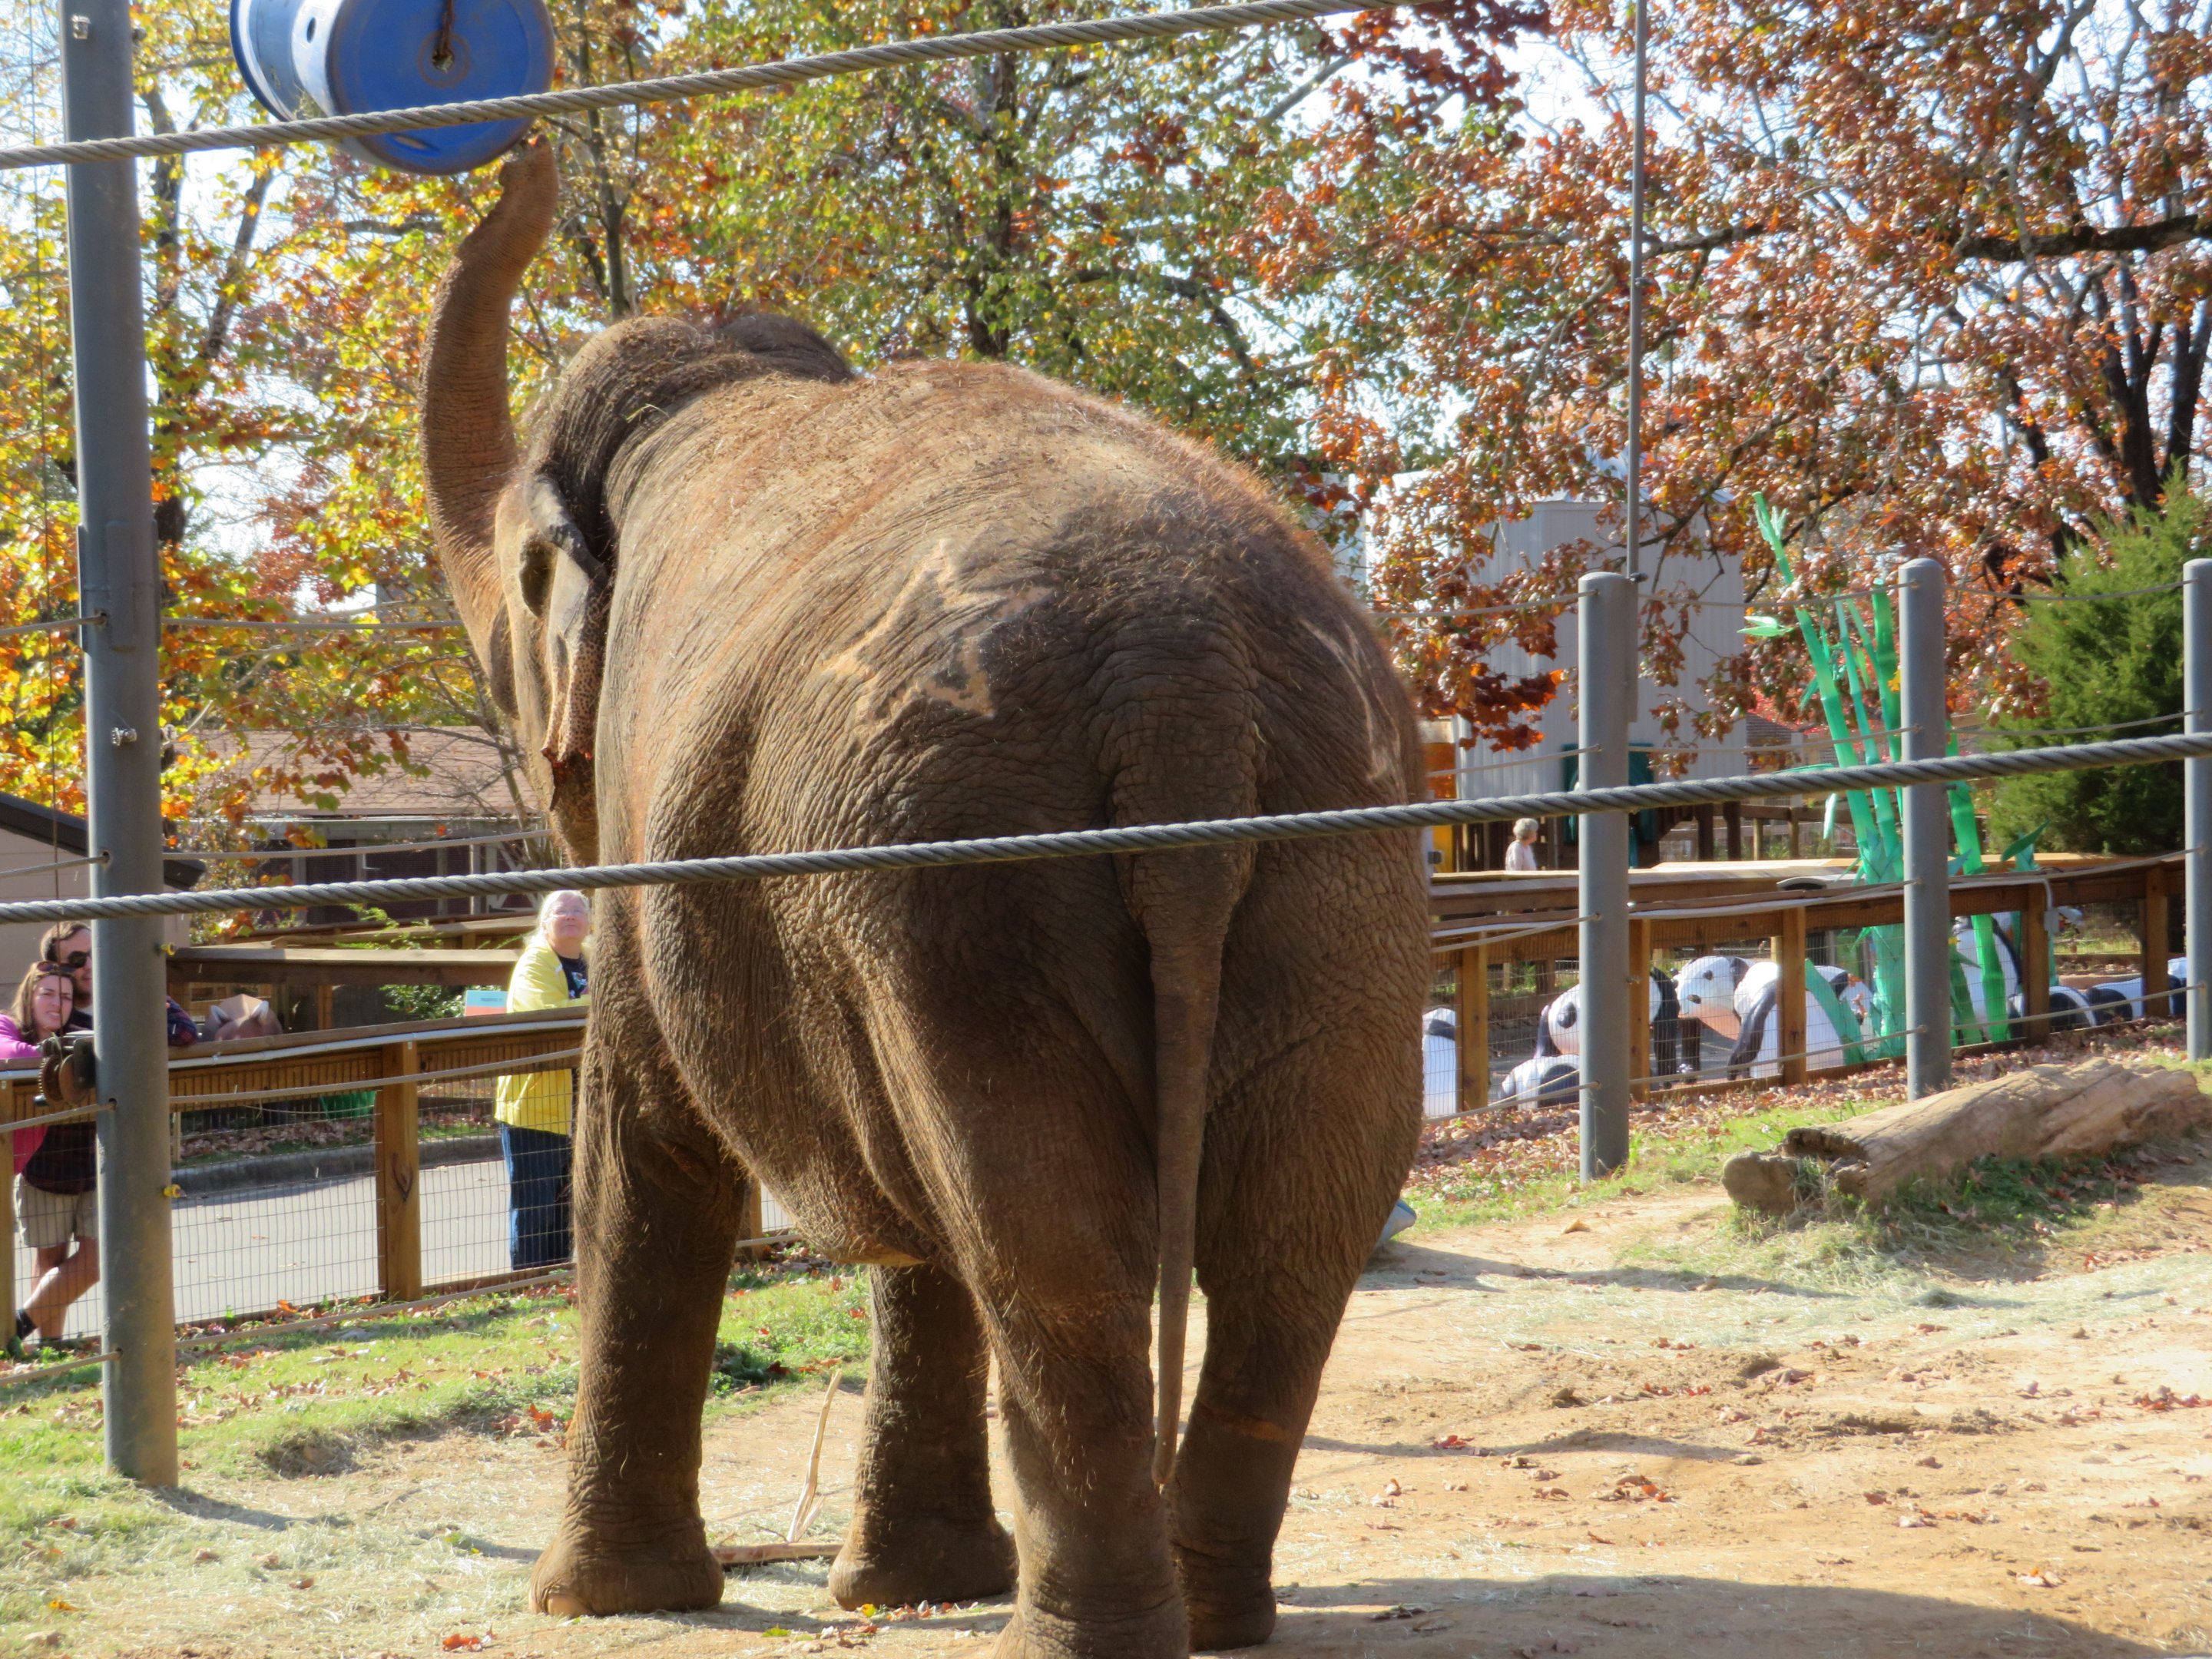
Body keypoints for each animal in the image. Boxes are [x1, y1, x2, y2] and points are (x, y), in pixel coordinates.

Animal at [416, 144, 1429, 1657]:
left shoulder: (667, 856)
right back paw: (1213, 1615)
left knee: (1055, 1252)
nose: (520, 148)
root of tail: (1183, 678)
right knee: (1285, 1244)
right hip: (1337, 870)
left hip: (965, 890)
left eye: (504, 656)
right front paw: (909, 1586)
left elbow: (640, 1143)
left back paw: (1078, 1636)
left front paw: (599, 1602)